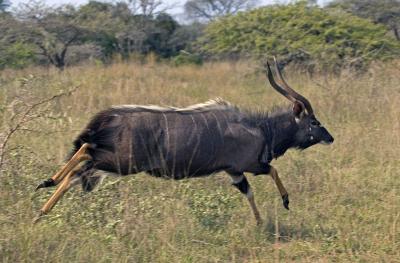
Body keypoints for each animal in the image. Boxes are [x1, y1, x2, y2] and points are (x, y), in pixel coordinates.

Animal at [34, 57, 334, 225]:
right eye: (314, 122)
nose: (330, 138)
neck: (261, 129)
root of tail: (109, 117)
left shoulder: (235, 172)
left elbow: (247, 192)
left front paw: (260, 224)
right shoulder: (248, 164)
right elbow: (273, 170)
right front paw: (285, 201)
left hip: (112, 163)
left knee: (79, 169)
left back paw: (42, 207)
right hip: (122, 162)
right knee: (84, 152)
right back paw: (46, 187)